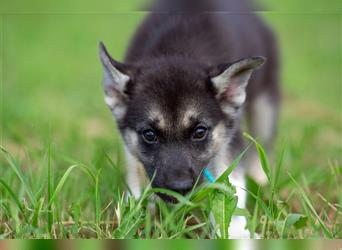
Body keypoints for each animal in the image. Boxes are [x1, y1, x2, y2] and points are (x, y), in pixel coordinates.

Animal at [97, 0, 280, 238]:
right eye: (149, 134)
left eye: (199, 132)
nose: (179, 187)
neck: (176, 49)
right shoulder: (130, 142)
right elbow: (136, 172)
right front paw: (134, 215)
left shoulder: (230, 136)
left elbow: (231, 183)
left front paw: (235, 231)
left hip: (265, 107)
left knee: (263, 144)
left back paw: (261, 179)